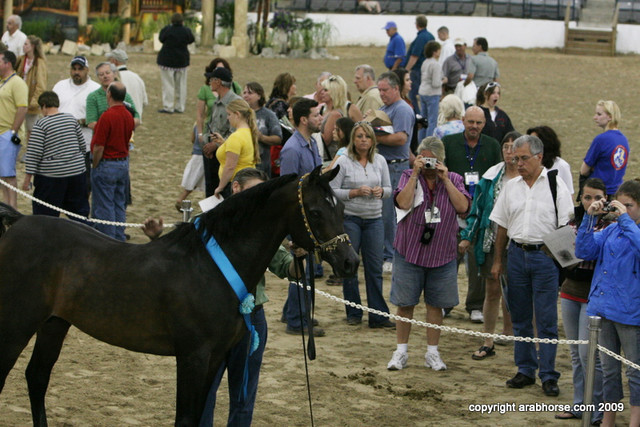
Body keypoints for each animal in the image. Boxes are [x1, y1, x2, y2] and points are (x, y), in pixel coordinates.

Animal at [0, 166, 359, 426]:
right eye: (314, 211)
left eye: (341, 207)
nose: (349, 262)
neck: (209, 266)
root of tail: (17, 223)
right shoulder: (192, 357)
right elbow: (185, 418)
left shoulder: (215, 358)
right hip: (16, 325)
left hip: (54, 324)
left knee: (37, 378)